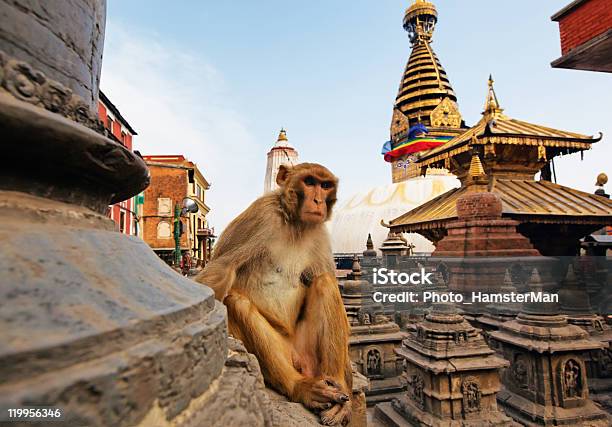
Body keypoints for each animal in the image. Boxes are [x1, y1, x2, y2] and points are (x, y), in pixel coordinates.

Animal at [196, 163, 354, 424]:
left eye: (325, 185)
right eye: (309, 182)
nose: (318, 200)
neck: (295, 224)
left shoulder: (320, 233)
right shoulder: (261, 216)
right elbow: (221, 270)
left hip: (308, 350)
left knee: (324, 282)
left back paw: (338, 385)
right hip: (284, 351)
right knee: (236, 302)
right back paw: (299, 387)